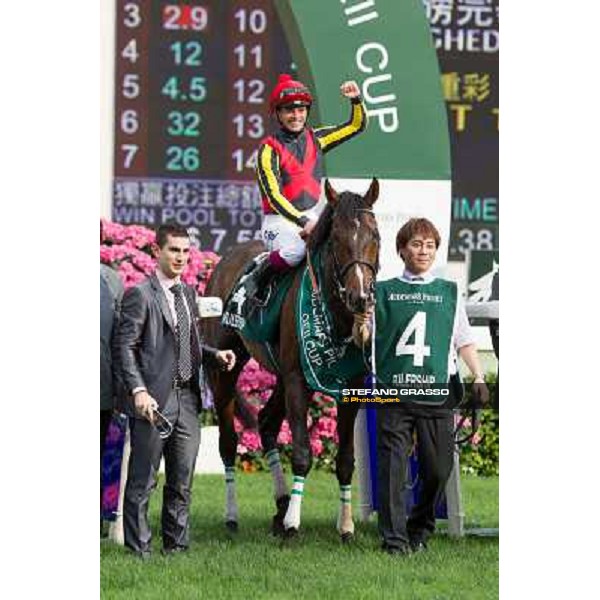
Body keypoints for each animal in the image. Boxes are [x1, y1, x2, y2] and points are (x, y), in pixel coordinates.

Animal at [202, 177, 380, 540]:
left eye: (375, 236)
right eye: (336, 240)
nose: (360, 298)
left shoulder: (351, 387)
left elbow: (345, 461)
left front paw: (346, 526)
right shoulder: (299, 379)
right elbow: (300, 454)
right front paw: (293, 524)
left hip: (280, 375)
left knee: (267, 422)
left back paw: (282, 503)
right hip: (226, 365)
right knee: (228, 442)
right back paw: (234, 515)